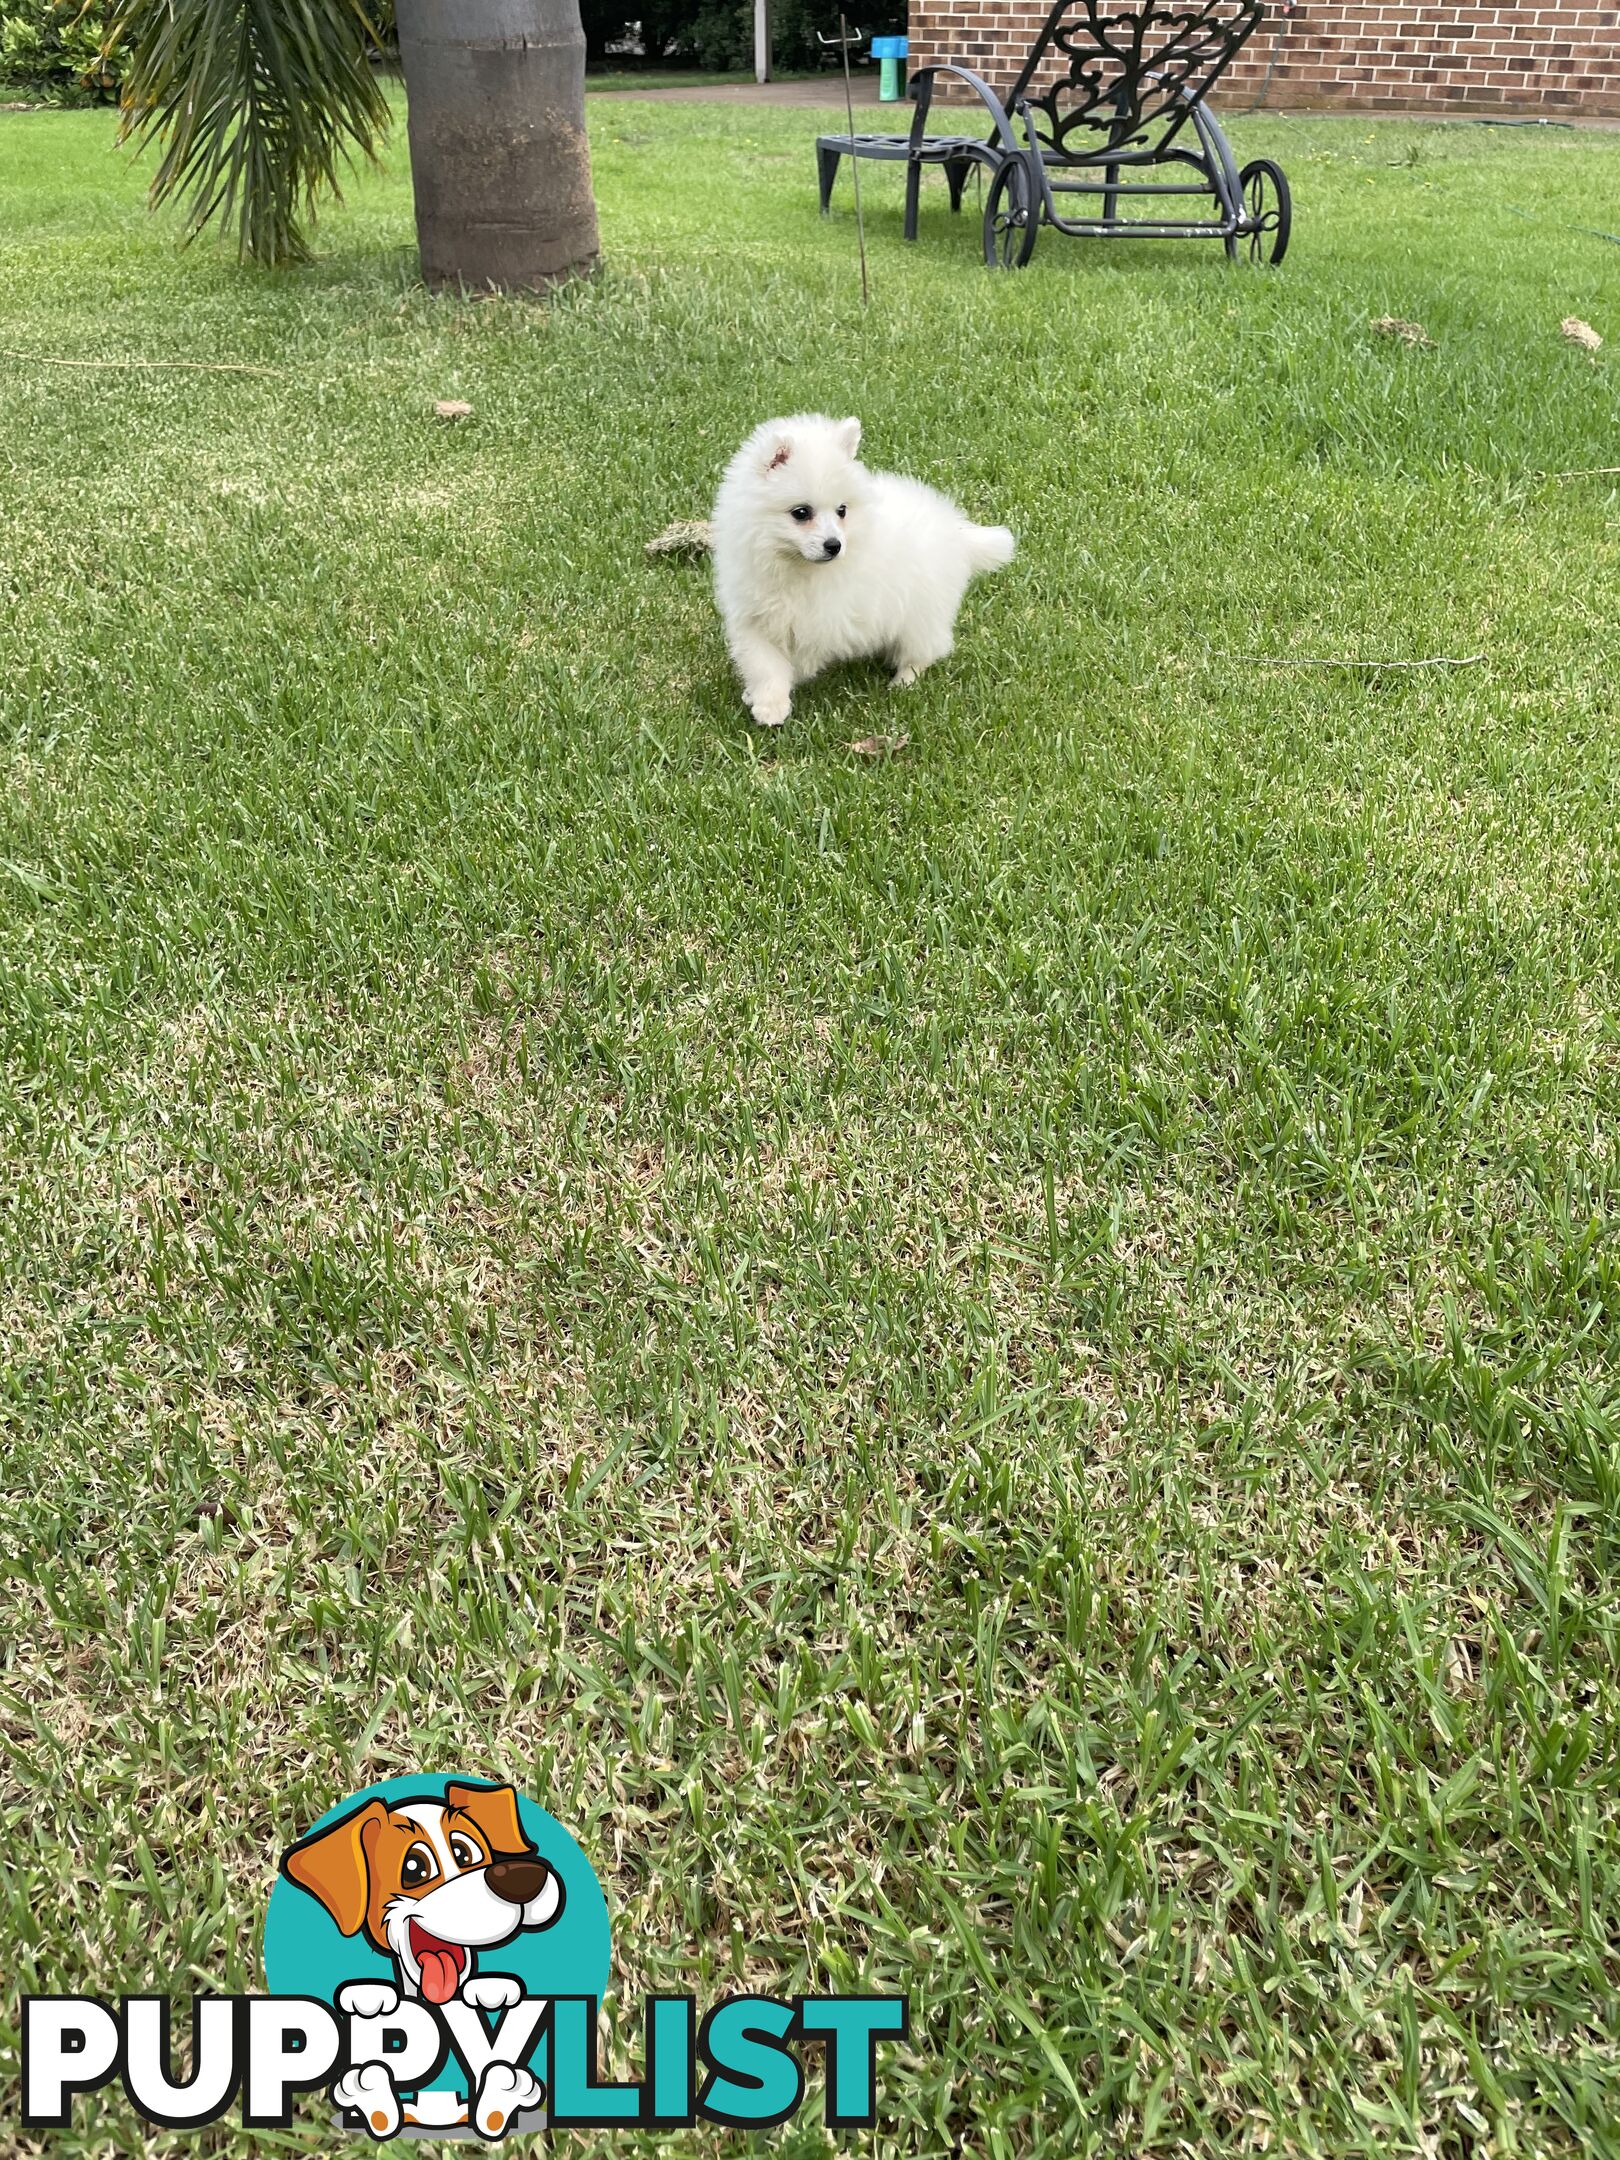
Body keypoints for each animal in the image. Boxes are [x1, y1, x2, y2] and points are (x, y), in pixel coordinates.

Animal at [712, 412, 1015, 734]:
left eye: (842, 510)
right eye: (801, 513)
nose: (834, 545)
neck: (792, 566)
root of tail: (957, 532)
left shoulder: (822, 621)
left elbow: (796, 661)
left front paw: (780, 693)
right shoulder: (753, 617)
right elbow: (764, 664)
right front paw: (767, 702)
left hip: (923, 610)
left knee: (923, 649)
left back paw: (904, 680)